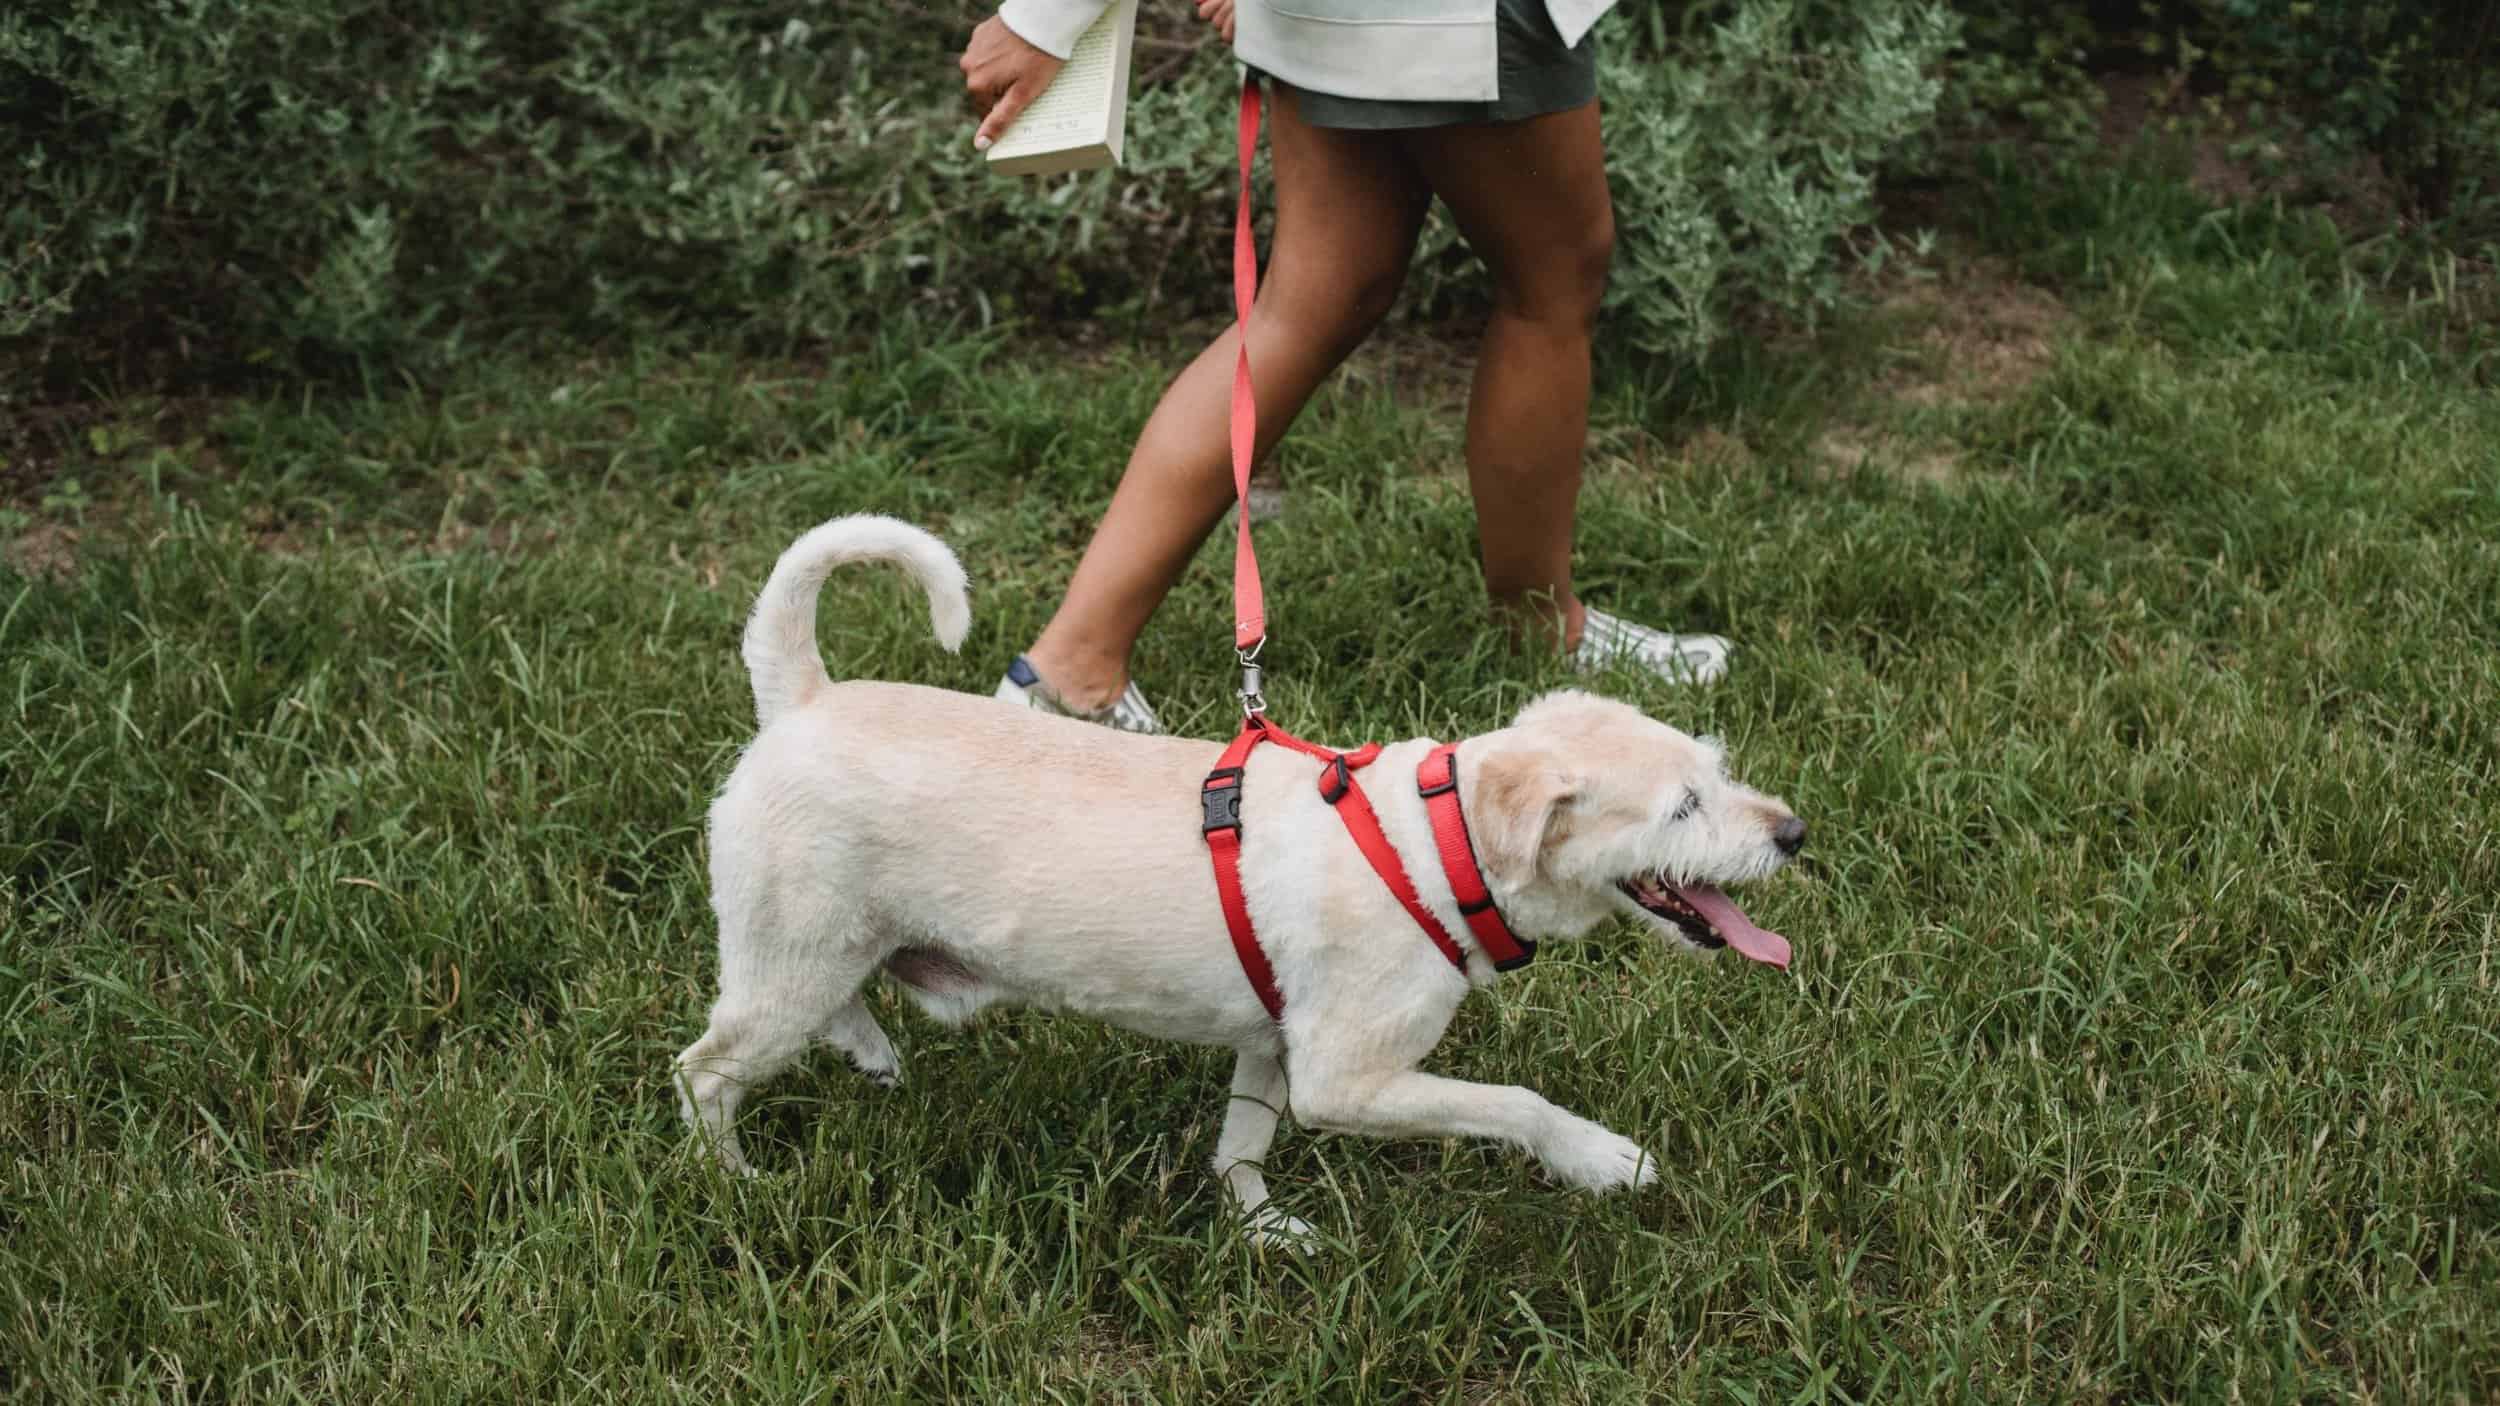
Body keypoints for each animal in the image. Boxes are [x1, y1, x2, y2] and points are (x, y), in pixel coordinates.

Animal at [675, 515, 1810, 1235]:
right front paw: (1603, 1160)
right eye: (1681, 807)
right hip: (792, 953)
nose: (1795, 833)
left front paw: (1261, 1230)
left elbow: (1241, 1145)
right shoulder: (1346, 1078)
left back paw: (871, 1058)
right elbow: (1517, 1102)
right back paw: (737, 1183)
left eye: (1716, 770)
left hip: (823, 947)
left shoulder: (1272, 1045)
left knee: (823, 1013)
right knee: (707, 1071)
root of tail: (803, 696)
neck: (1431, 843)